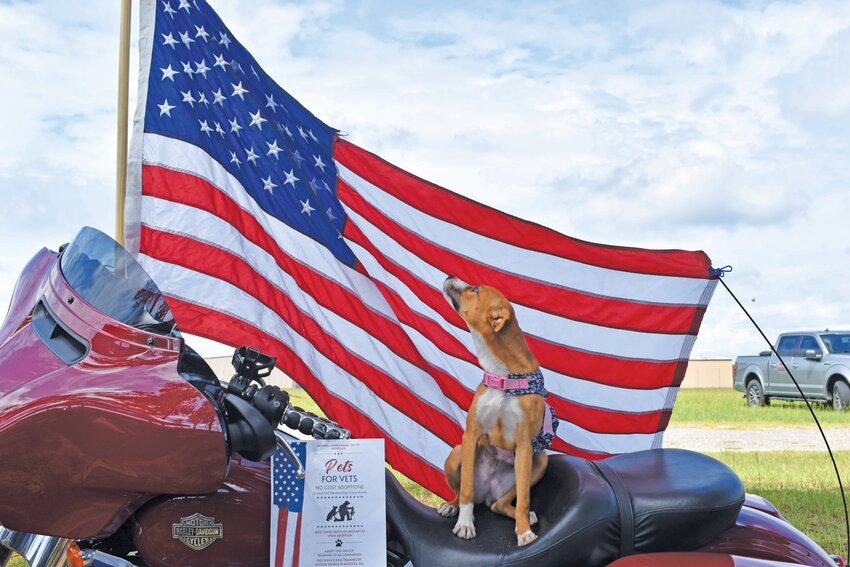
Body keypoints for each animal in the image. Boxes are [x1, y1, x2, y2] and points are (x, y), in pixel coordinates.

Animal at [438, 276, 556, 544]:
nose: (449, 276)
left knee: (500, 505)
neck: (504, 376)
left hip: (540, 460)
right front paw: (465, 524)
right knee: (463, 493)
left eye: (475, 289)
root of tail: (487, 493)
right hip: (457, 452)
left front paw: (524, 532)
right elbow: (466, 491)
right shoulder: (471, 435)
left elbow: (524, 500)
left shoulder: (524, 446)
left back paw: (526, 518)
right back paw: (451, 505)